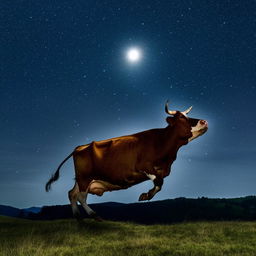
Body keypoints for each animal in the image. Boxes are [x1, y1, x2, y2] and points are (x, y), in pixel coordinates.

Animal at [45, 101, 207, 220]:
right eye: (181, 118)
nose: (204, 121)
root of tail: (79, 147)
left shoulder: (161, 170)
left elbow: (160, 184)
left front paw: (146, 195)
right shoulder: (144, 166)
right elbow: (159, 182)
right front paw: (145, 195)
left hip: (82, 179)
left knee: (72, 193)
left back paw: (78, 217)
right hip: (85, 178)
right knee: (81, 196)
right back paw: (94, 215)